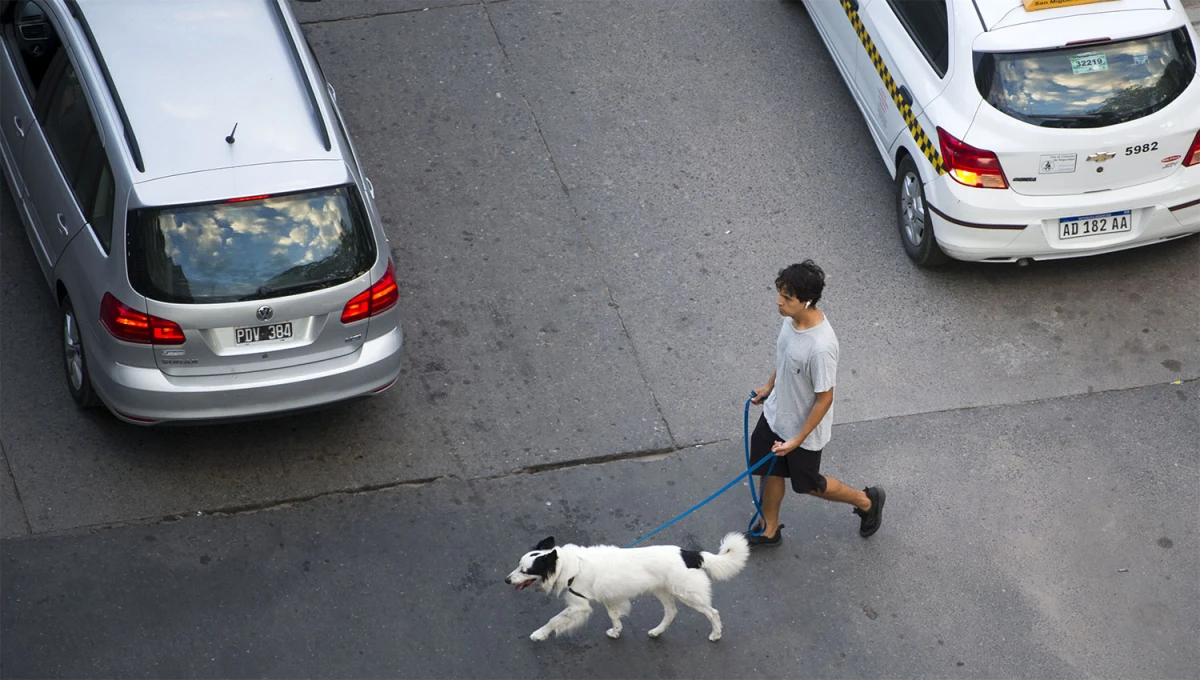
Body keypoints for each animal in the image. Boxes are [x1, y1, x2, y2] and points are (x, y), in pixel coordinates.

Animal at [506, 534, 748, 642]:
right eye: (517, 565)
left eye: (525, 571)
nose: (507, 581)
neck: (567, 565)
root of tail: (691, 554)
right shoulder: (609, 598)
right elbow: (615, 617)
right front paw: (616, 632)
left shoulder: (579, 606)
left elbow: (554, 620)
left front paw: (540, 634)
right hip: (663, 591)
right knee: (671, 613)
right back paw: (657, 631)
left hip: (688, 594)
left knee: (713, 612)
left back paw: (716, 634)